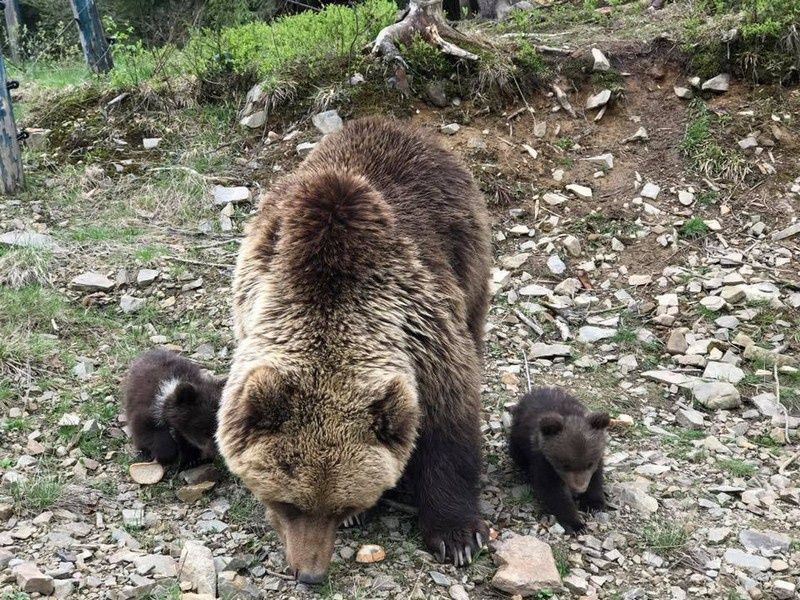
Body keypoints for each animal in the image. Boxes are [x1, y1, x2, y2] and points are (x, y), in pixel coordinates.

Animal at [219, 115, 494, 584]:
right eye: (287, 503)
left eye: (342, 502)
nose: (309, 573)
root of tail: (401, 125)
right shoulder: (254, 294)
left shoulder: (425, 331)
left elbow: (450, 420)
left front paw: (456, 535)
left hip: (467, 247)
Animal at [510, 386, 608, 532]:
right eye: (565, 465)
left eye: (589, 464)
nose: (579, 489)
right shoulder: (544, 463)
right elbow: (555, 492)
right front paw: (576, 524)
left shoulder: (598, 457)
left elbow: (596, 478)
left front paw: (594, 504)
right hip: (517, 438)